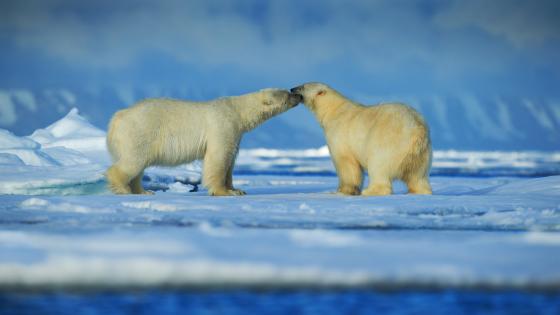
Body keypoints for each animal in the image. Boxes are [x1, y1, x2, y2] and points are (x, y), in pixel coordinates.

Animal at [107, 89, 304, 196]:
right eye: (287, 94)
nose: (299, 95)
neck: (237, 111)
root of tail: (118, 117)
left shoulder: (236, 133)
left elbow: (231, 160)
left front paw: (237, 189)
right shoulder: (223, 126)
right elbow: (219, 158)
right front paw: (224, 192)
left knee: (138, 166)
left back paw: (143, 191)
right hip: (141, 131)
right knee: (133, 161)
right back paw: (123, 189)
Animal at [290, 82, 430, 196]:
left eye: (302, 86)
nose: (291, 89)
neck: (332, 110)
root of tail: (417, 129)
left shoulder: (339, 133)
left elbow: (345, 162)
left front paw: (343, 190)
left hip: (389, 142)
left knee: (379, 165)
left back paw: (370, 191)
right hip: (421, 154)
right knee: (418, 176)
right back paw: (419, 191)